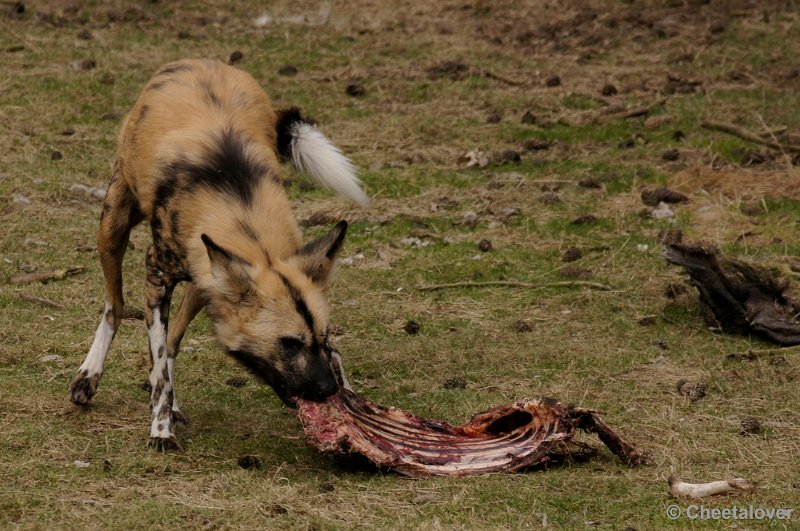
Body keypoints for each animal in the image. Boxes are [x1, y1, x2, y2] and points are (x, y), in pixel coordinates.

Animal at [69, 57, 368, 448]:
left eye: (324, 336)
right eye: (288, 344)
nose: (328, 389)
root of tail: (199, 61)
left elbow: (164, 354)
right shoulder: (157, 276)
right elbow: (159, 362)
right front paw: (161, 430)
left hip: (205, 280)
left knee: (173, 339)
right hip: (113, 225)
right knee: (114, 306)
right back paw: (89, 376)